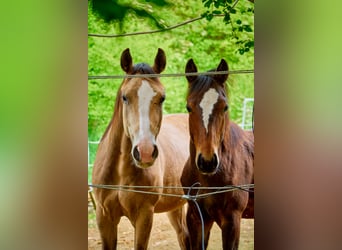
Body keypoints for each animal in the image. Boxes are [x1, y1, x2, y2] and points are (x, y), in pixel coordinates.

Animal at [91, 47, 190, 249]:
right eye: (125, 97)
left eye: (162, 98)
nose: (145, 153)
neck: (120, 173)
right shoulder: (104, 218)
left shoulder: (144, 216)